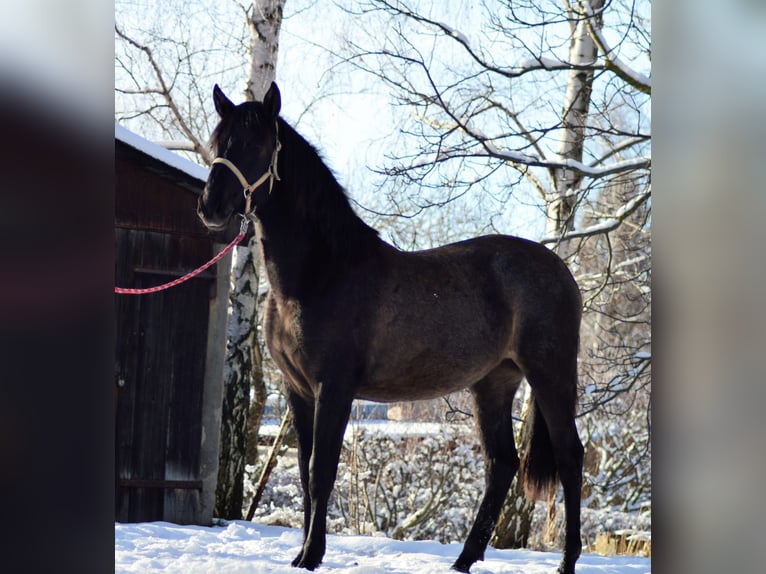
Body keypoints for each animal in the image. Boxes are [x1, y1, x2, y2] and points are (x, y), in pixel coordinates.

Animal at [200, 84, 588, 574]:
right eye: (217, 143)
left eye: (255, 145)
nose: (209, 207)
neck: (322, 272)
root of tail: (562, 271)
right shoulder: (298, 390)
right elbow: (306, 471)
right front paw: (302, 554)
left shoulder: (334, 387)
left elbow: (321, 470)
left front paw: (311, 556)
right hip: (493, 383)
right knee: (502, 463)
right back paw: (463, 560)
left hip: (550, 375)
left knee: (570, 456)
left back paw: (565, 562)